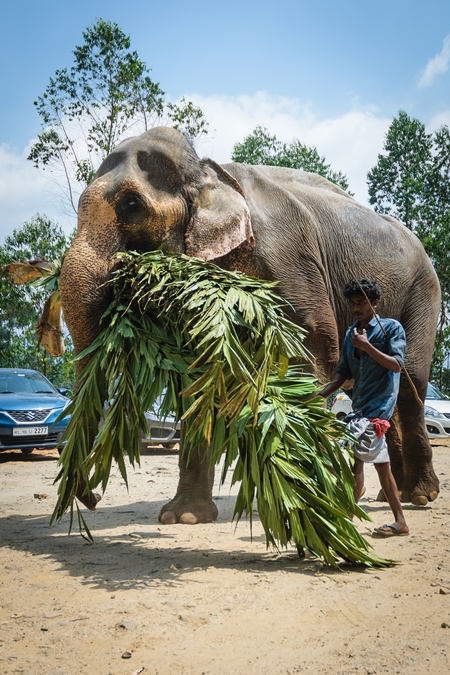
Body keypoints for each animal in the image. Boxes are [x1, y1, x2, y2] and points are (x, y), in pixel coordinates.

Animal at [59, 125, 440, 524]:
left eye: (132, 205)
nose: (94, 498)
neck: (208, 171)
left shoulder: (289, 262)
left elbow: (310, 355)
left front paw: (309, 506)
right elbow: (198, 376)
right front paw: (184, 517)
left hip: (423, 293)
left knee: (409, 382)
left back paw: (419, 495)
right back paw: (388, 494)